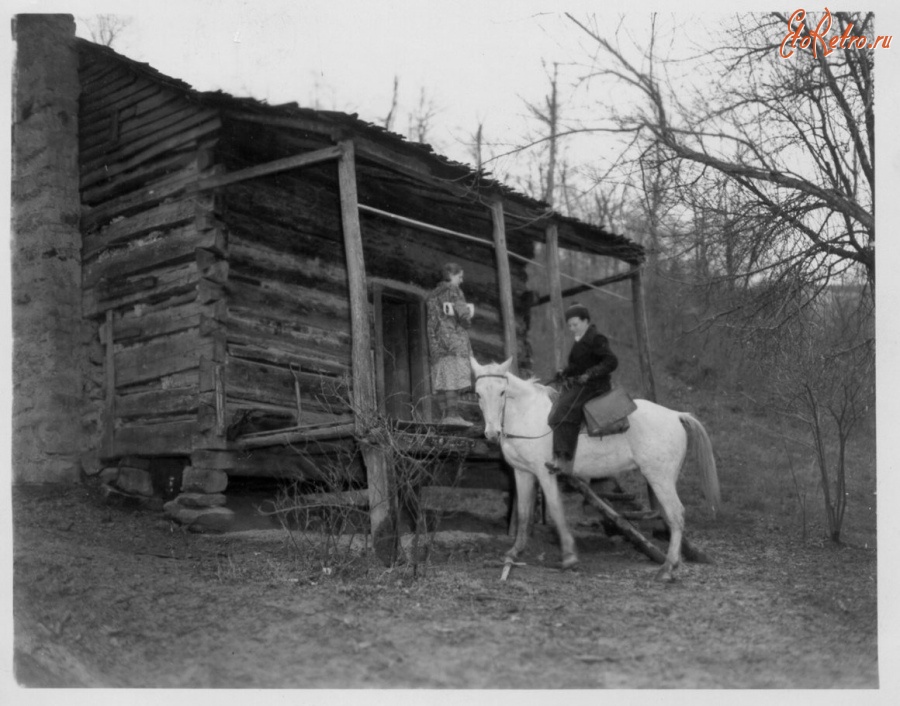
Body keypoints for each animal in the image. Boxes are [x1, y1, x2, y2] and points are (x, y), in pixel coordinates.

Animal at [472, 354, 716, 580]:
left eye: (502, 392)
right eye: (478, 394)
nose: (491, 433)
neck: (527, 415)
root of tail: (676, 415)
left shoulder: (545, 472)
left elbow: (556, 510)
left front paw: (569, 557)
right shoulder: (522, 472)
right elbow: (523, 513)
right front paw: (514, 553)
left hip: (659, 477)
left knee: (676, 514)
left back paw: (667, 568)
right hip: (664, 479)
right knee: (671, 516)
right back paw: (673, 565)